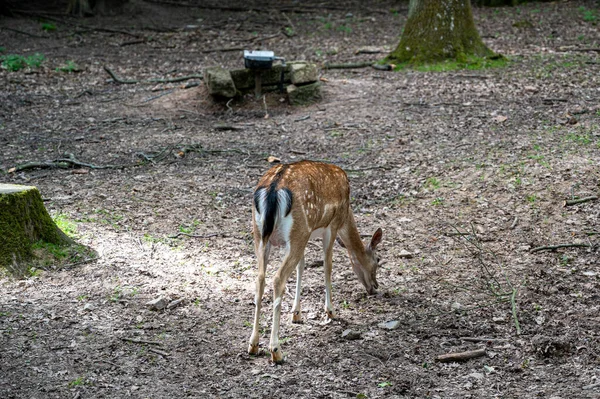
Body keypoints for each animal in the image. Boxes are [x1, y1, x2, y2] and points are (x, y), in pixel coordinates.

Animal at [246, 161, 382, 364]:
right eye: (377, 261)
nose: (375, 286)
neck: (347, 214)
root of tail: (273, 190)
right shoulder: (331, 226)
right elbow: (327, 266)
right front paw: (331, 311)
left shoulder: (305, 237)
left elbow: (301, 267)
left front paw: (296, 313)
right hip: (297, 230)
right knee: (278, 279)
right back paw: (276, 350)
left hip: (261, 234)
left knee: (260, 278)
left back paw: (253, 345)